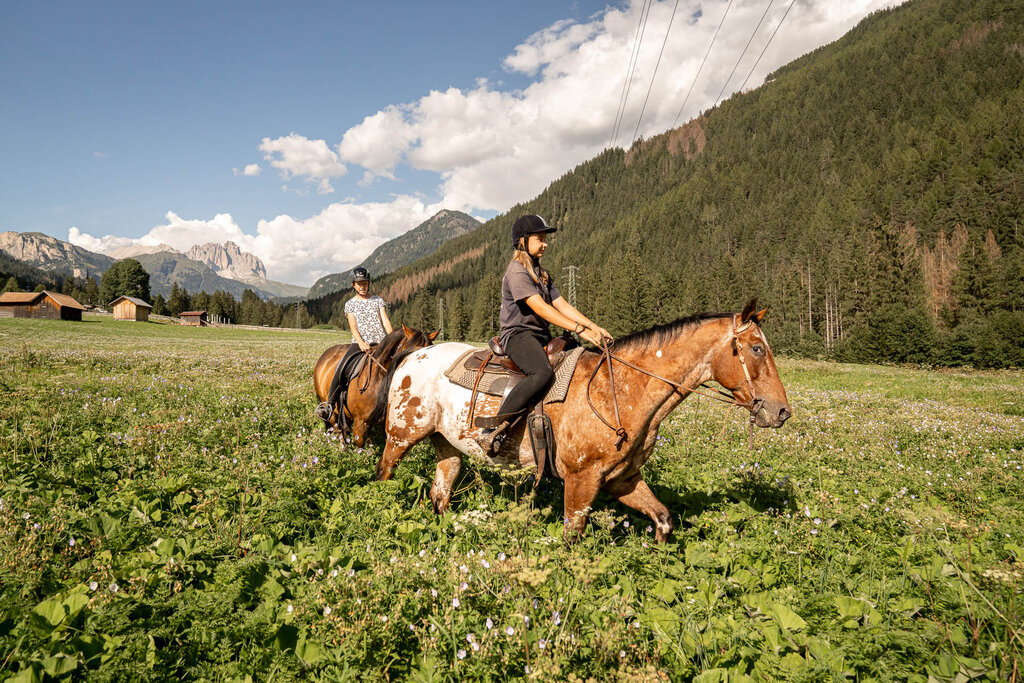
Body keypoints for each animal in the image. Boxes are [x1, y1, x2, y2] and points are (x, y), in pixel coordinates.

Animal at [374, 300, 791, 542]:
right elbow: (571, 538)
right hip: (400, 438)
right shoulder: (581, 480)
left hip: (447, 446)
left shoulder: (622, 478)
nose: (781, 411)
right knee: (384, 476)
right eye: (757, 348)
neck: (618, 389)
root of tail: (413, 356)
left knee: (440, 494)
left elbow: (663, 519)